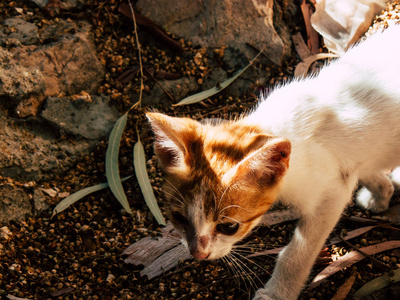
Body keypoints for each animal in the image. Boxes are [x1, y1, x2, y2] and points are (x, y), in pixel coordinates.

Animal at [146, 26, 400, 300]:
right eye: (178, 217)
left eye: (229, 227)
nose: (198, 254)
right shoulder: (349, 165)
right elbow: (365, 168)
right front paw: (381, 193)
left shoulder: (330, 195)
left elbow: (297, 252)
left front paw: (277, 292)